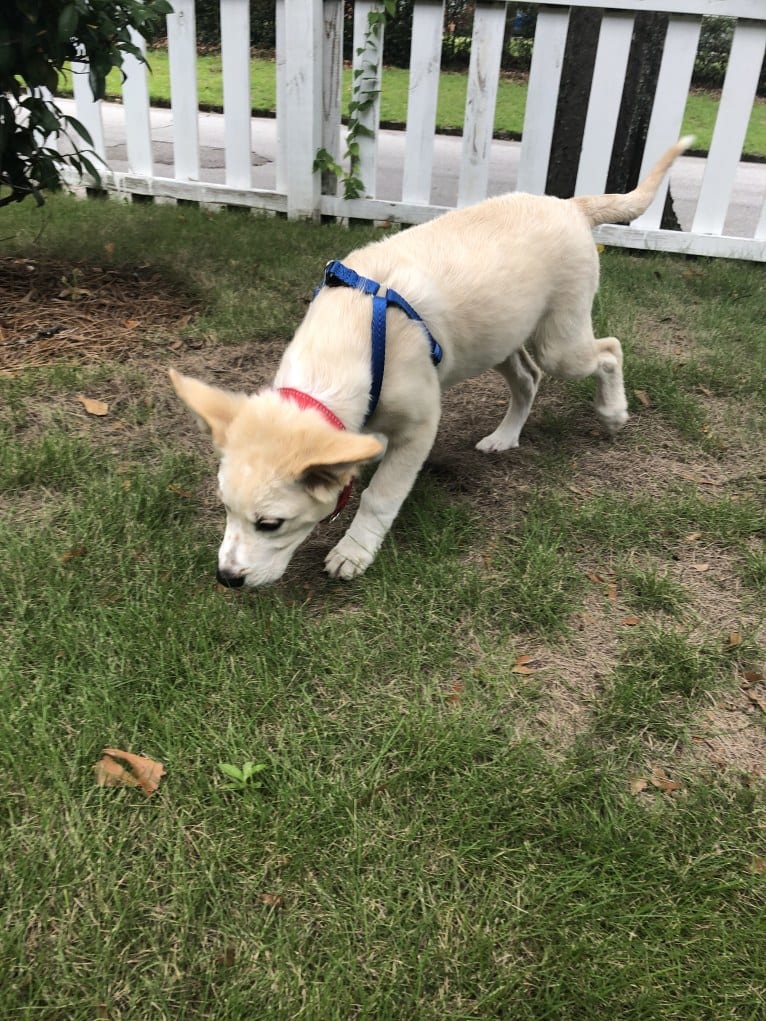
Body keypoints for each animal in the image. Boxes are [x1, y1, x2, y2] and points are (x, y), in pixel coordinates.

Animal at [170, 136, 694, 588]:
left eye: (270, 523)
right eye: (224, 508)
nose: (227, 579)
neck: (346, 343)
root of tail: (570, 205)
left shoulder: (421, 425)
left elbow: (380, 495)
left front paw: (353, 551)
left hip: (560, 342)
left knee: (609, 349)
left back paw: (613, 411)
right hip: (497, 338)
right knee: (528, 377)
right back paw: (505, 437)